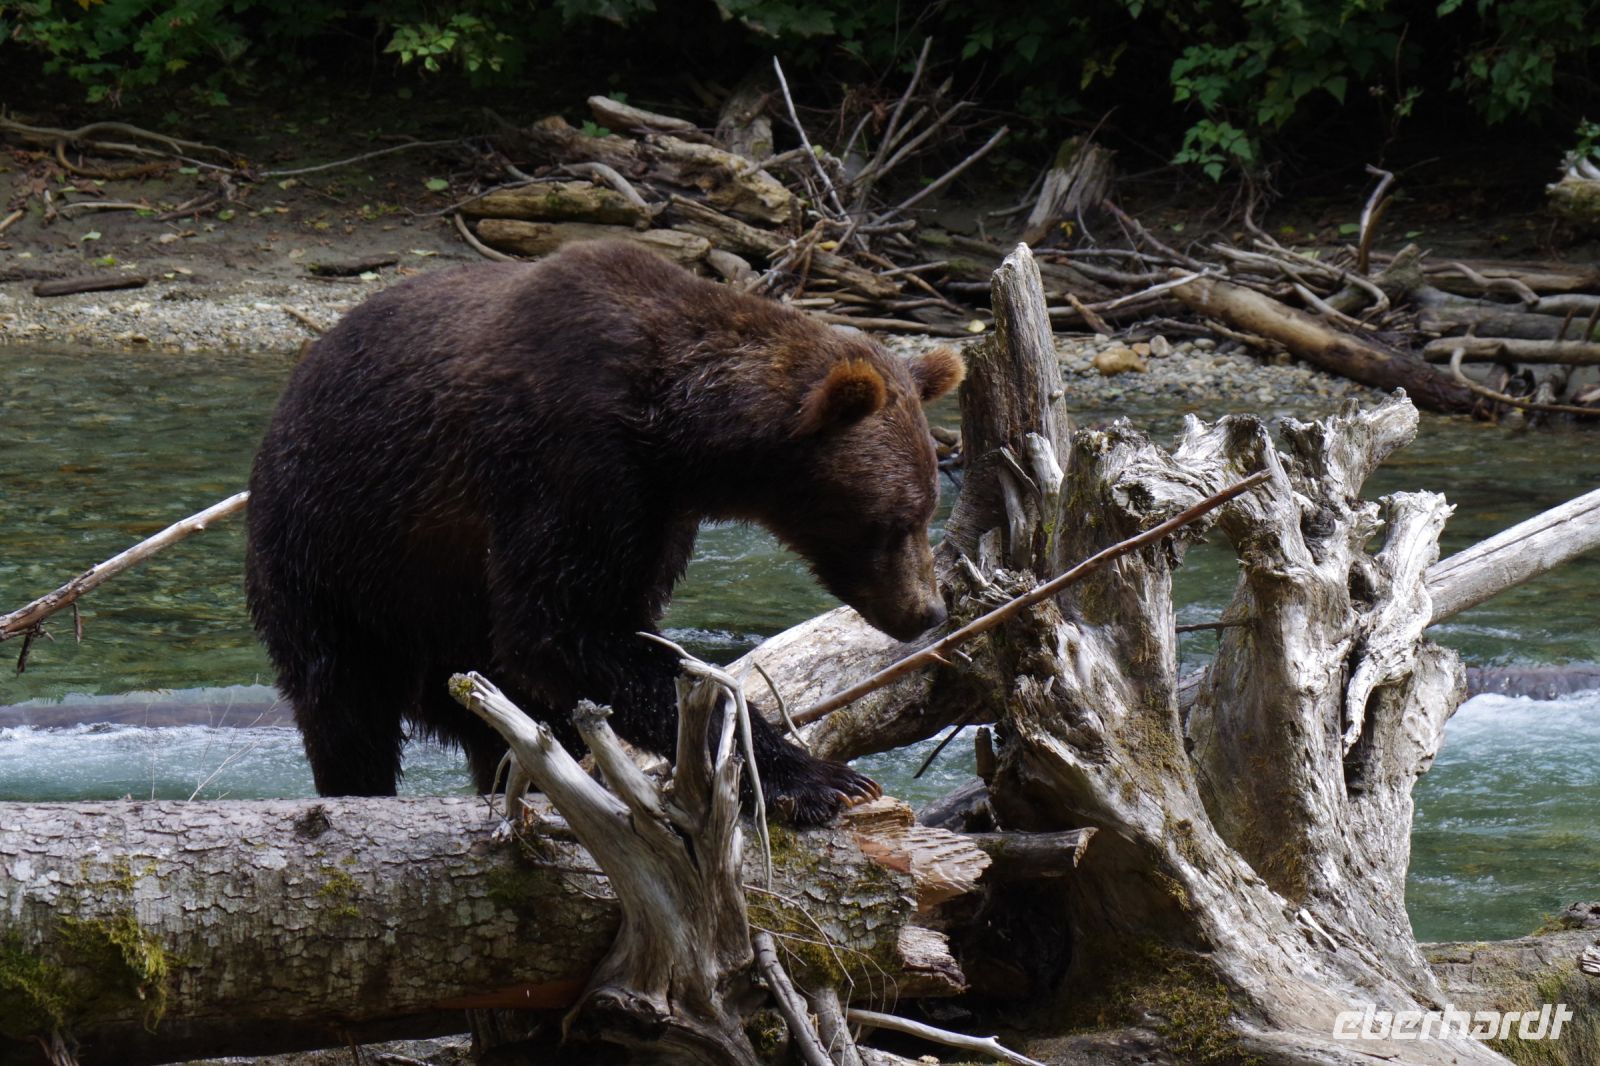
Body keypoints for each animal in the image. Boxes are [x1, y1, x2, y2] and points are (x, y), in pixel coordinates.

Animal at [244, 239, 964, 825]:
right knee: (344, 705)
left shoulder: (656, 515)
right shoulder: (569, 458)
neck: (681, 436)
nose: (926, 611)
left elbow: (610, 633)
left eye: (927, 509)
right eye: (897, 520)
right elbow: (562, 627)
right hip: (336, 559)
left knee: (495, 726)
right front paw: (822, 780)